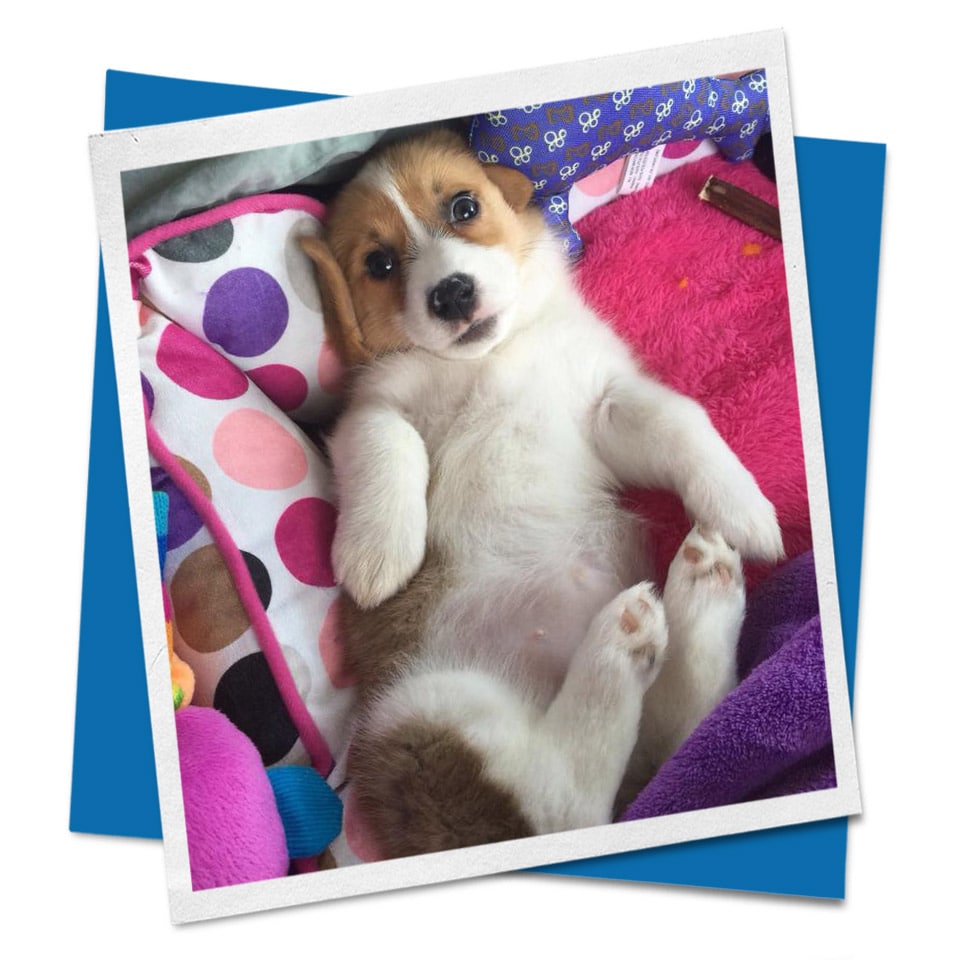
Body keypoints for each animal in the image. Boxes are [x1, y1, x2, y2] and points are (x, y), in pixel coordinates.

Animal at [304, 125, 784, 856]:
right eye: (379, 264)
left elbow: (682, 422)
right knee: (566, 803)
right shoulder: (370, 409)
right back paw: (626, 636)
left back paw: (703, 590)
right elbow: (390, 442)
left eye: (464, 207)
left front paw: (744, 508)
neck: (492, 356)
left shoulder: (608, 403)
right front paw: (378, 557)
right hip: (426, 709)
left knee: (682, 741)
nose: (450, 293)